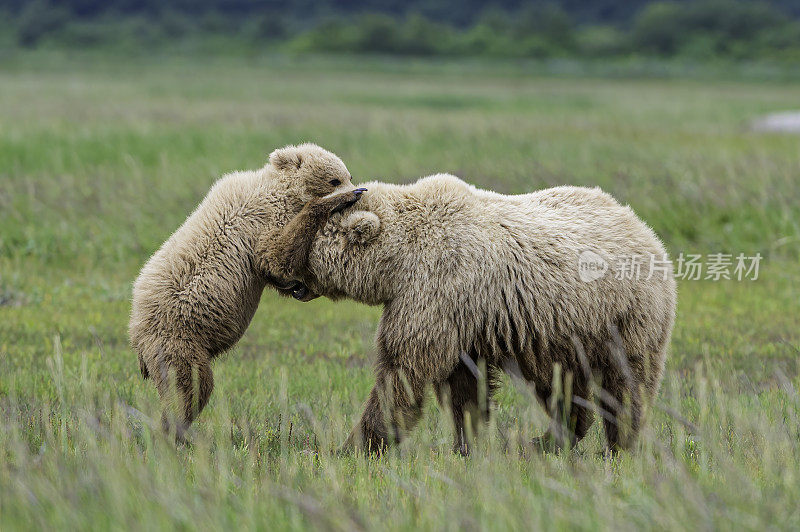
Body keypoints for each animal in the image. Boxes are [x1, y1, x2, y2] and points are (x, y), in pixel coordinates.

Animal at [130, 143, 366, 438]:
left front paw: (300, 287)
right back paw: (174, 431)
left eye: (348, 174)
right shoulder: (263, 220)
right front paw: (332, 203)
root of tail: (136, 336)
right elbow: (274, 255)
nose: (358, 191)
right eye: (335, 179)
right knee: (191, 386)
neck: (284, 191)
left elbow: (277, 271)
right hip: (179, 340)